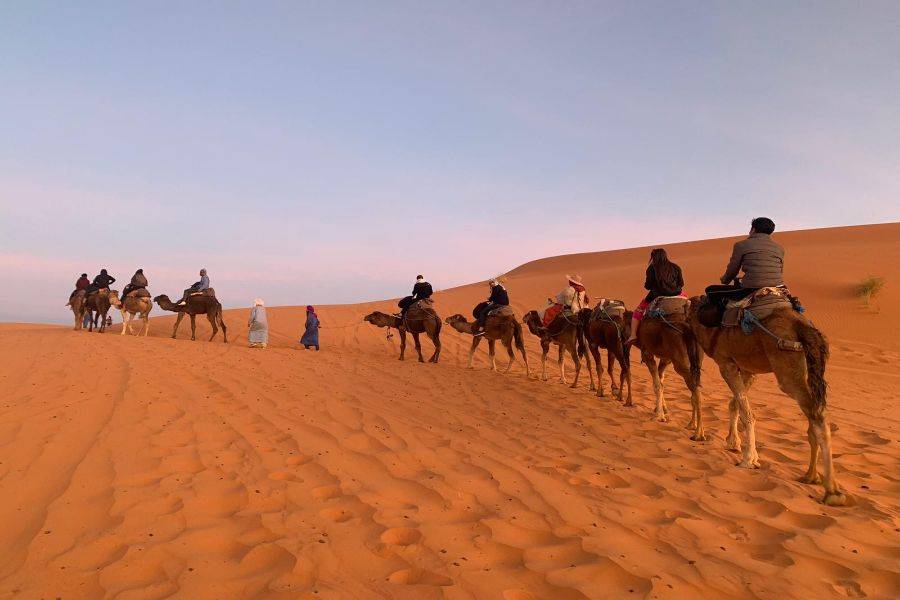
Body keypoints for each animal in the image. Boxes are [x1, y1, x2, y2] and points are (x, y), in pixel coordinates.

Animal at [634, 299, 705, 441]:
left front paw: (659, 416)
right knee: (694, 388)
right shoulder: (666, 359)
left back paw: (698, 434)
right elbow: (661, 381)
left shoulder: (647, 354)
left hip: (680, 360)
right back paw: (691, 424)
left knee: (696, 391)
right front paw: (661, 410)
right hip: (696, 359)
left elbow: (657, 385)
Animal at [687, 297, 845, 506]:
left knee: (817, 416)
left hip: (788, 371)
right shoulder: (747, 369)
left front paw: (749, 459)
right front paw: (733, 443)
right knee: (815, 416)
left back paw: (833, 491)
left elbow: (747, 413)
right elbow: (735, 405)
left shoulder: (726, 364)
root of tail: (805, 328)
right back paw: (811, 476)